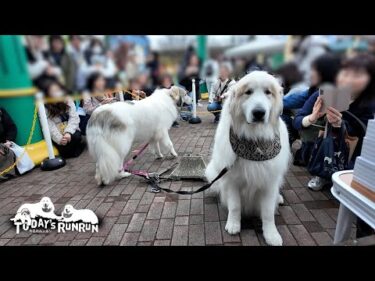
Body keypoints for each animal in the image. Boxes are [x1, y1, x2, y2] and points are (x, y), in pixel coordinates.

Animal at [206, 70, 290, 245]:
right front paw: (233, 225)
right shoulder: (232, 179)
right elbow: (235, 206)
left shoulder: (269, 181)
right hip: (212, 172)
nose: (259, 113)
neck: (254, 140)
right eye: (248, 92)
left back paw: (278, 198)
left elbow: (268, 212)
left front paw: (271, 234)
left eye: (268, 92)